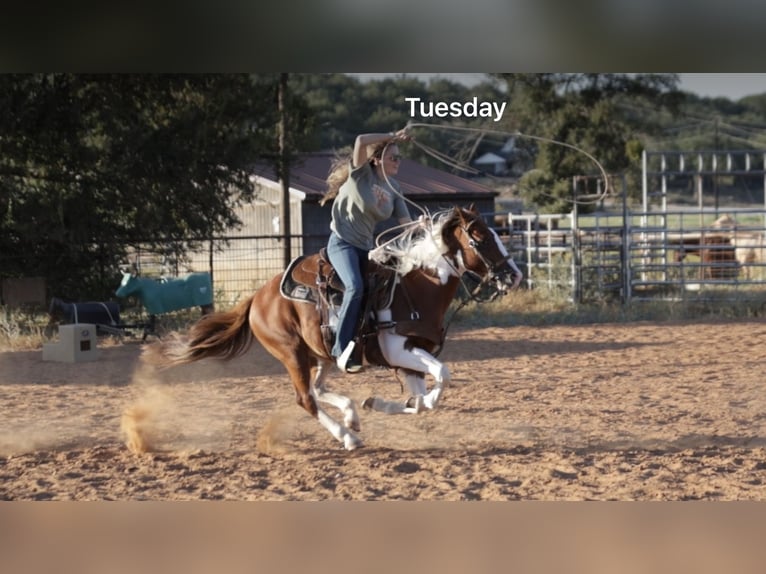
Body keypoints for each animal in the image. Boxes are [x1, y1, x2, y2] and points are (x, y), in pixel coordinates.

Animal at [145, 206, 522, 450]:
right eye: (480, 238)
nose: (514, 275)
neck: (418, 286)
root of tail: (258, 297)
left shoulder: (410, 357)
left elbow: (420, 402)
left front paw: (377, 403)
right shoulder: (398, 349)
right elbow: (442, 377)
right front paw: (400, 403)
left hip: (322, 353)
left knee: (318, 389)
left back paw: (352, 416)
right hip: (292, 353)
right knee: (305, 398)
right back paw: (348, 437)